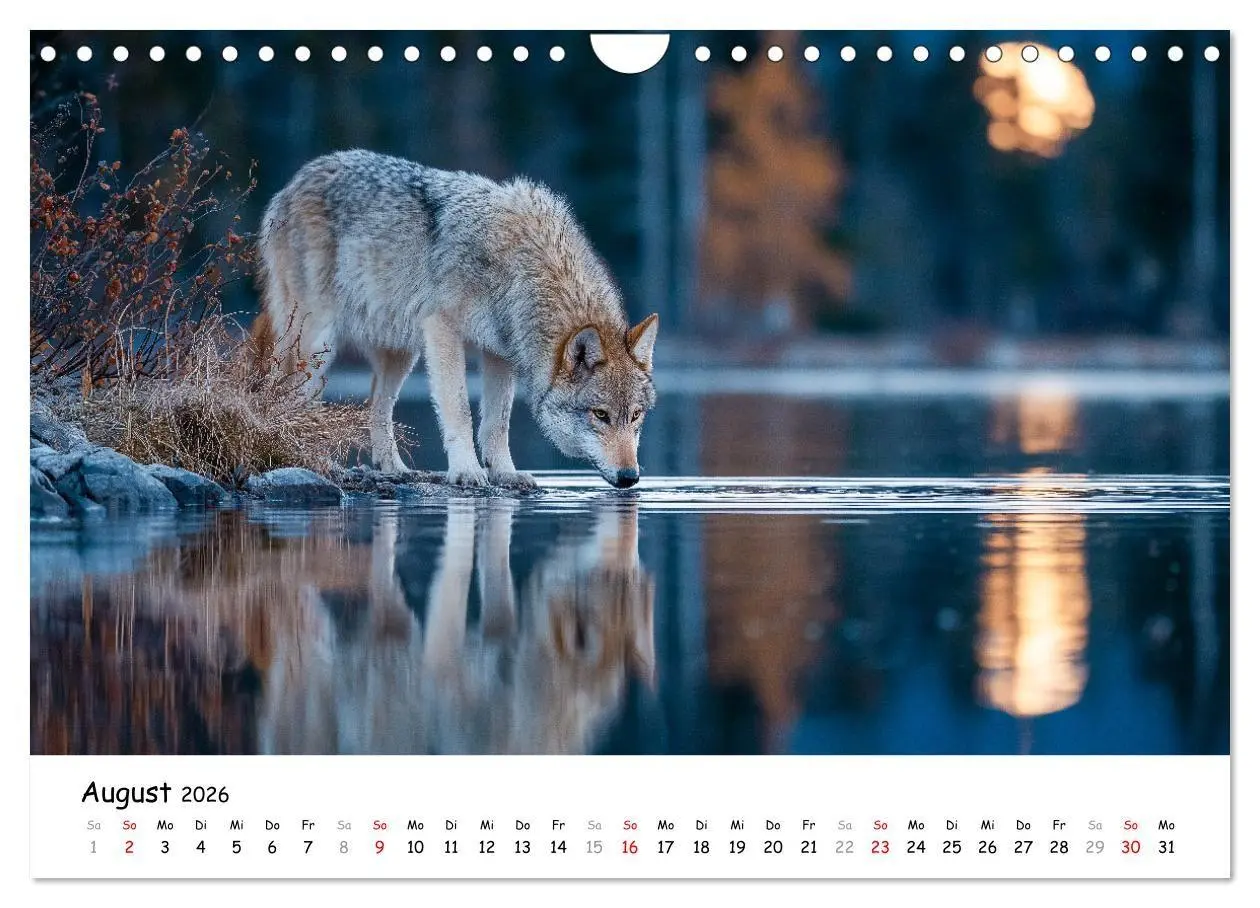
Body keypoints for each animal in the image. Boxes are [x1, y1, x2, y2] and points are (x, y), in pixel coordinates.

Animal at [254, 150, 659, 489]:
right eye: (600, 414)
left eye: (636, 415)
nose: (630, 477)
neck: (525, 266)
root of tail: (296, 180)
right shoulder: (443, 329)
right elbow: (460, 409)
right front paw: (466, 470)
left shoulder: (499, 353)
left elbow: (497, 421)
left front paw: (506, 474)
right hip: (317, 344)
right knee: (296, 400)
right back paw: (317, 463)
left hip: (399, 354)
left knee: (377, 407)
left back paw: (396, 470)